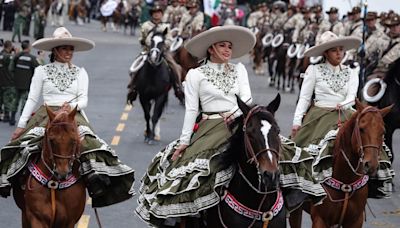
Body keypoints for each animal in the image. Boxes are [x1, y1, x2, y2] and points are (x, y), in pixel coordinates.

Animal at [290, 100, 392, 228]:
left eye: (383, 132)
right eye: (361, 128)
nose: (371, 165)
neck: (346, 182)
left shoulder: (355, 221)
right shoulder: (320, 220)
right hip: (296, 209)